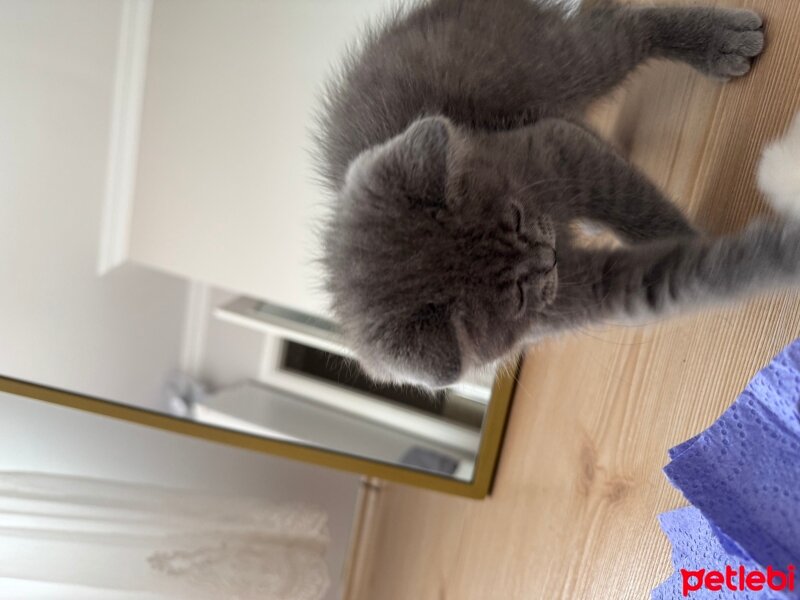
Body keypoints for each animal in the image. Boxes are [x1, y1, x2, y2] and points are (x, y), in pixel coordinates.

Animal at [316, 0, 792, 390]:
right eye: (517, 297)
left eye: (515, 218)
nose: (548, 259)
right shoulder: (564, 301)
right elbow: (649, 279)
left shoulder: (554, 147)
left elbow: (634, 202)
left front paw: (690, 235)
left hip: (548, 61)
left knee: (622, 28)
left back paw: (721, 41)